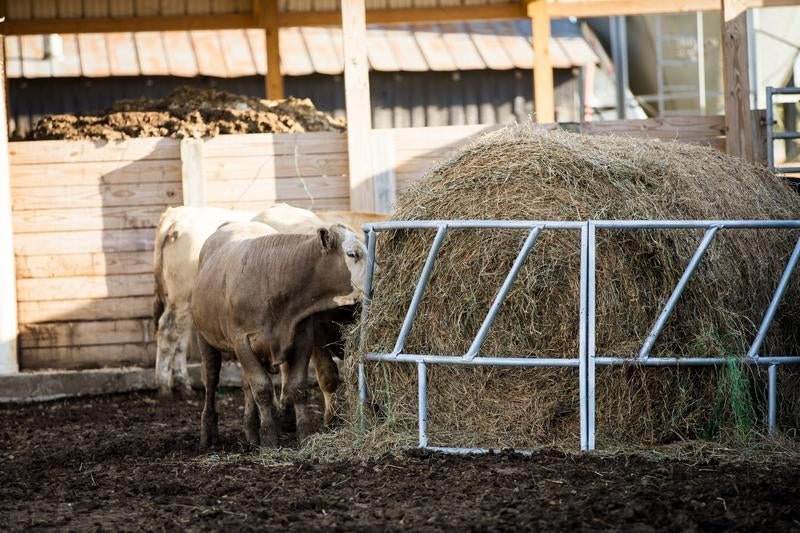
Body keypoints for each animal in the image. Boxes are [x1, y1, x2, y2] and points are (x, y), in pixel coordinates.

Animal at [191, 222, 367, 449]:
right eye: (353, 253)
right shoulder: (242, 341)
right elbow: (262, 389)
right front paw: (269, 438)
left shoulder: (303, 337)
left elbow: (297, 386)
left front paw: (304, 434)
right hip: (204, 338)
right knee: (211, 380)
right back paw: (208, 433)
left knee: (246, 384)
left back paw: (252, 430)